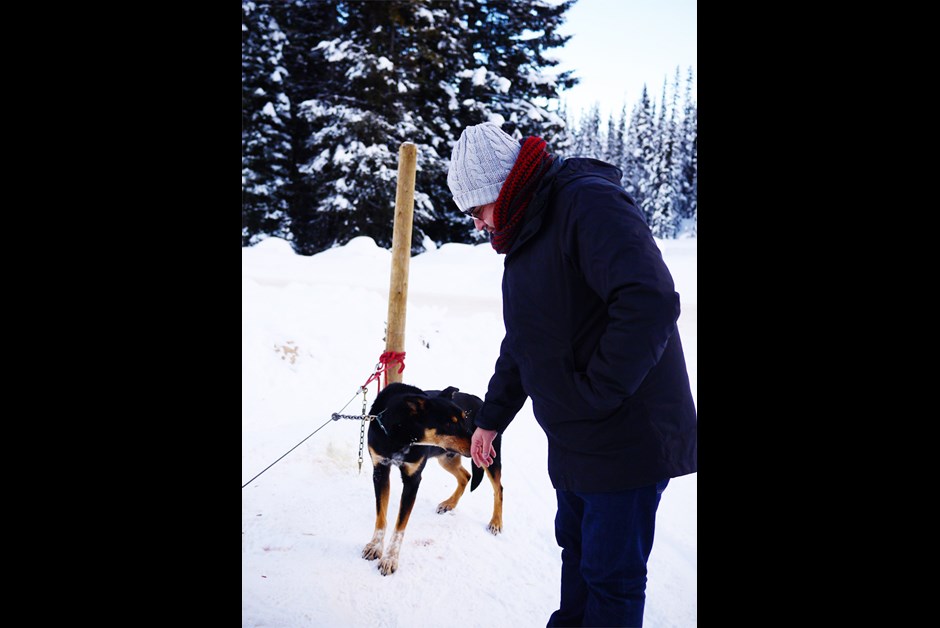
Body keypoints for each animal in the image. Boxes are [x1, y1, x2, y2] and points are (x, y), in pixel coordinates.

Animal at [362, 382, 506, 576]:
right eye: (449, 423)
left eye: (464, 418)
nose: (478, 442)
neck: (400, 436)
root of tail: (480, 400)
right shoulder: (380, 471)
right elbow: (381, 516)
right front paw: (375, 546)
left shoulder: (413, 479)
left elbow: (400, 526)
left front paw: (390, 558)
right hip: (447, 458)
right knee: (466, 476)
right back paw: (449, 504)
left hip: (488, 460)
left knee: (498, 488)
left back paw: (496, 522)